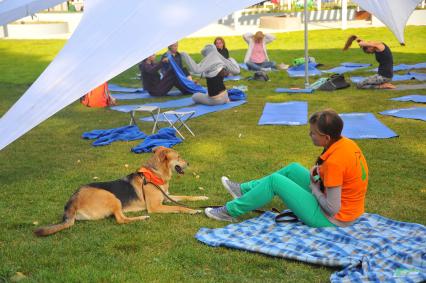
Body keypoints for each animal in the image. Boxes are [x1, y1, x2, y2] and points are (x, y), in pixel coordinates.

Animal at [35, 146, 208, 237]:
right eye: (178, 157)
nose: (188, 163)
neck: (155, 174)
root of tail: (72, 202)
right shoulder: (156, 206)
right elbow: (178, 206)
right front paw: (192, 211)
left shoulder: (166, 197)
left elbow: (187, 197)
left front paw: (202, 197)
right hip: (111, 197)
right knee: (121, 219)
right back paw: (142, 217)